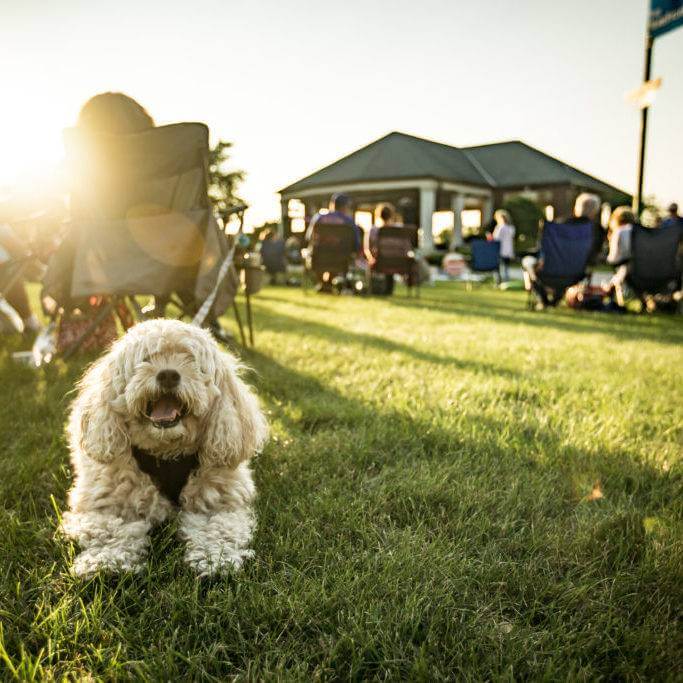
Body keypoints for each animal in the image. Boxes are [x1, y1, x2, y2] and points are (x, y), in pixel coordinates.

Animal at [61, 320, 268, 576]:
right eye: (146, 358)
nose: (168, 374)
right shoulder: (108, 505)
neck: (166, 453)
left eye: (191, 359)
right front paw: (107, 561)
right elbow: (112, 531)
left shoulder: (219, 504)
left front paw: (214, 559)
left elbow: (218, 529)